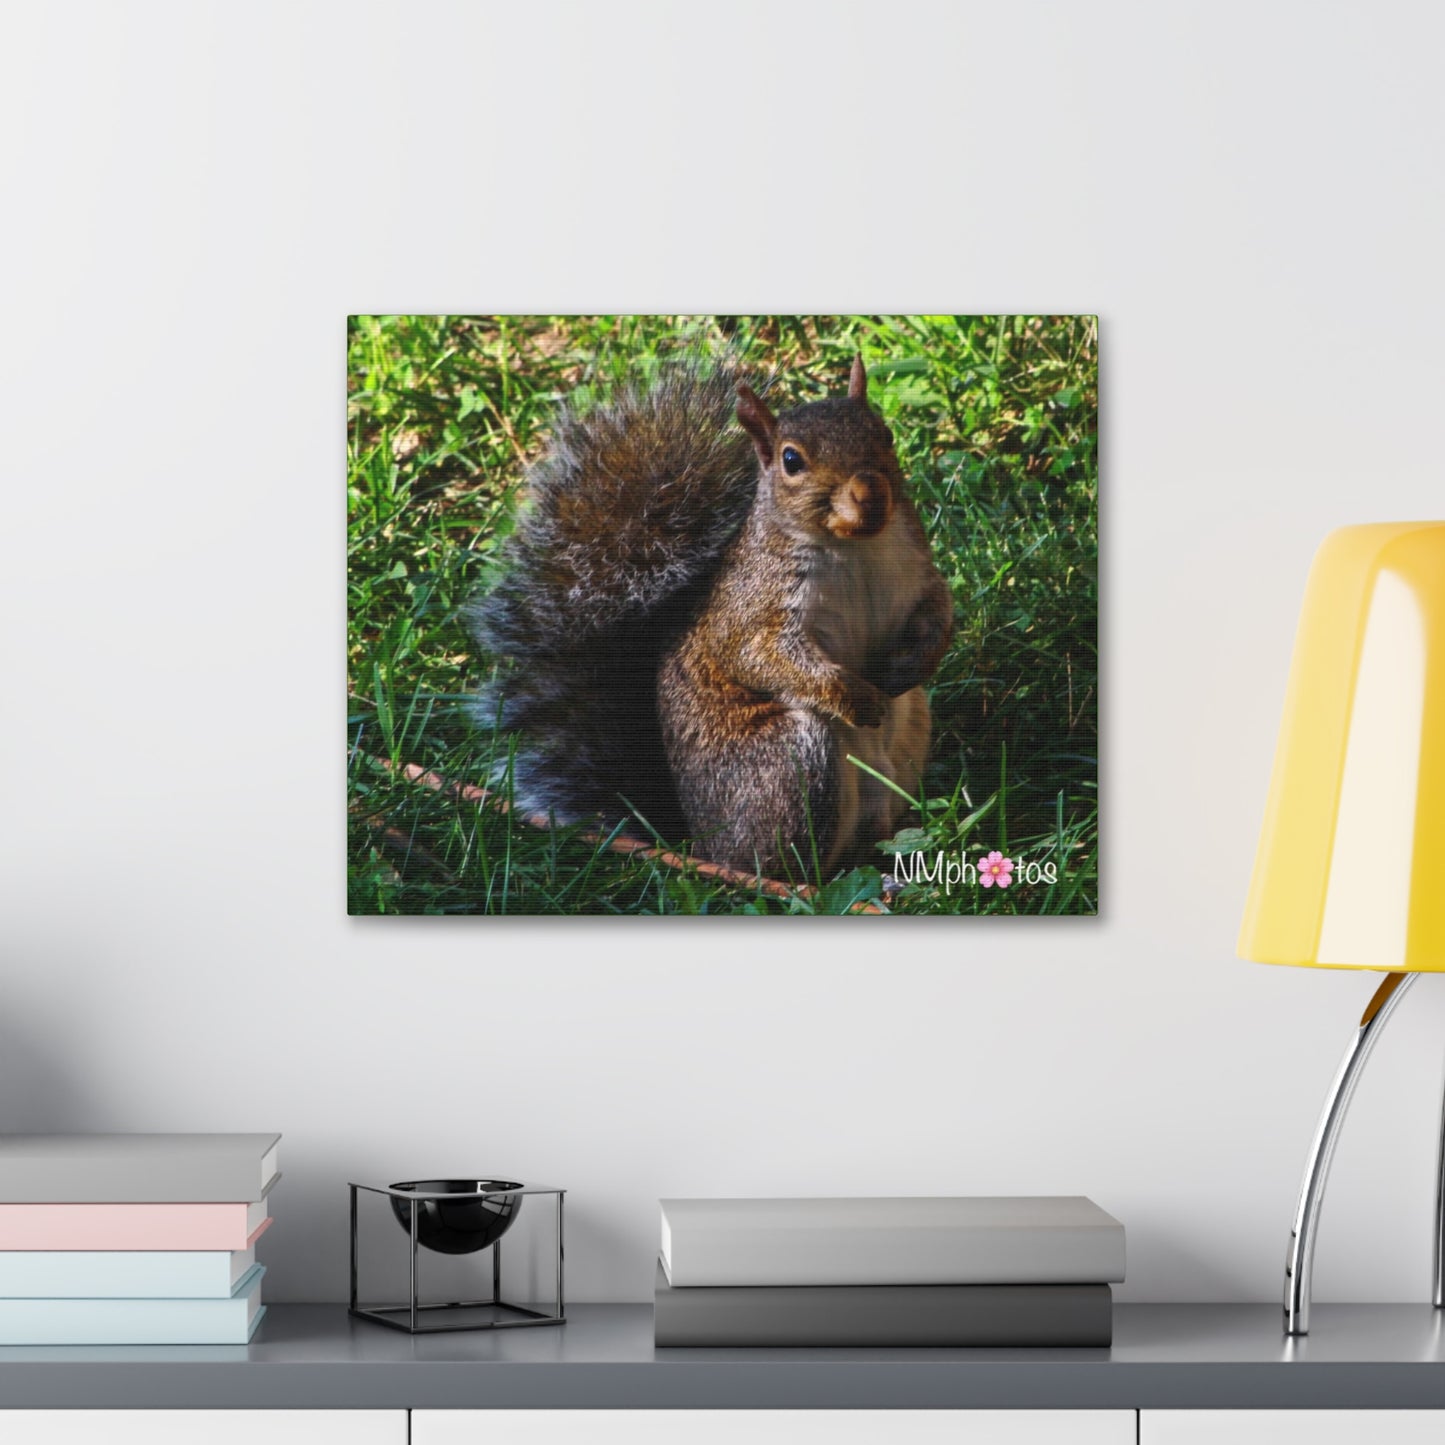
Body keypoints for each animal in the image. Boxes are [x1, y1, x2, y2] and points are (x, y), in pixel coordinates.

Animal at [471, 354, 955, 879]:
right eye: (791, 460)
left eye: (885, 434)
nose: (870, 492)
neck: (855, 545)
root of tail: (700, 845)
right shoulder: (753, 610)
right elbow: (761, 657)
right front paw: (856, 698)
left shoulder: (916, 573)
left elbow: (939, 610)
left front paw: (913, 664)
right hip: (789, 761)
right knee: (786, 866)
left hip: (910, 732)